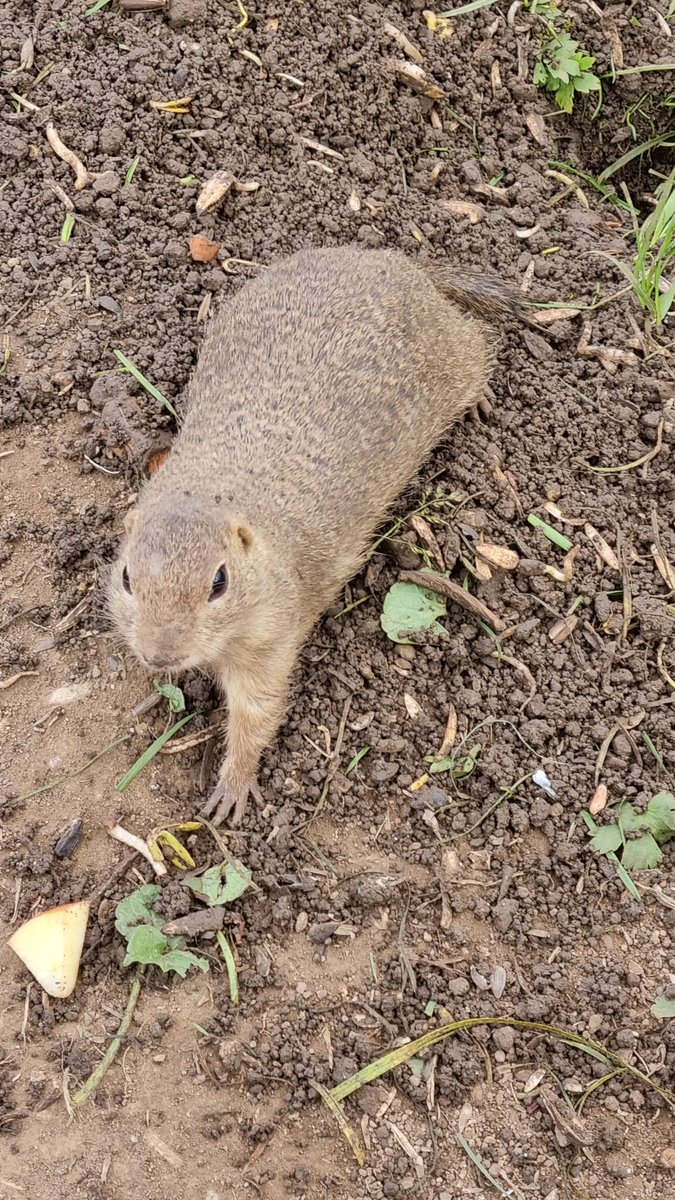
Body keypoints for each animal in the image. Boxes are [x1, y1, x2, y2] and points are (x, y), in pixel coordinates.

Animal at [108, 246, 517, 824]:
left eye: (219, 583)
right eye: (126, 577)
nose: (159, 654)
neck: (218, 491)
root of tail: (401, 263)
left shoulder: (273, 636)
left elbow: (258, 712)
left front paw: (232, 789)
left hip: (453, 354)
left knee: (479, 343)